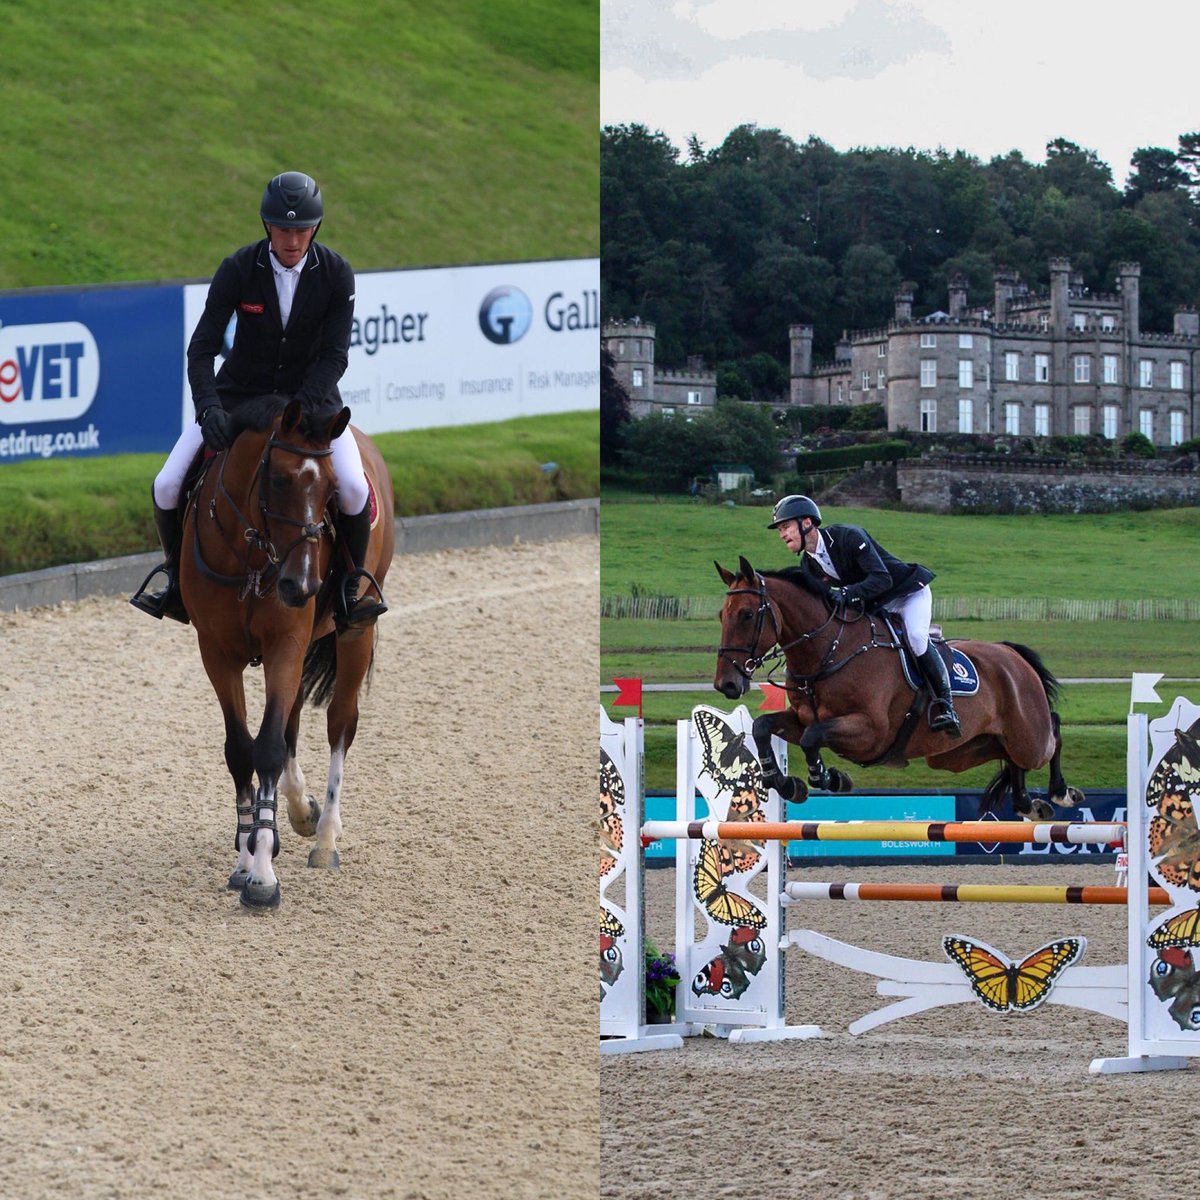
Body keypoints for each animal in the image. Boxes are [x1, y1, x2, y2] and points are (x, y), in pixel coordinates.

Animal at [178, 395, 394, 909]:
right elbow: (242, 749)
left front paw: (262, 874)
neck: (252, 558)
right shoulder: (216, 652)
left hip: (356, 632)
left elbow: (269, 747)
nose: (303, 586)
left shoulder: (287, 645)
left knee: (340, 722)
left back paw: (326, 838)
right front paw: (246, 855)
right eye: (278, 480)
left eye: (332, 489)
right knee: (293, 717)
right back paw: (299, 812)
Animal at [713, 556, 1084, 821]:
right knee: (1009, 756)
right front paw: (786, 783)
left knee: (1051, 731)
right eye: (721, 615)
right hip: (957, 754)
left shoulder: (871, 732)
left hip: (1028, 736)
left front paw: (828, 778)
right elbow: (764, 726)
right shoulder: (801, 717)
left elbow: (811, 738)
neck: (830, 649)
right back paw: (1027, 804)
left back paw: (1060, 791)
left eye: (746, 615)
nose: (726, 684)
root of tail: (1012, 655)